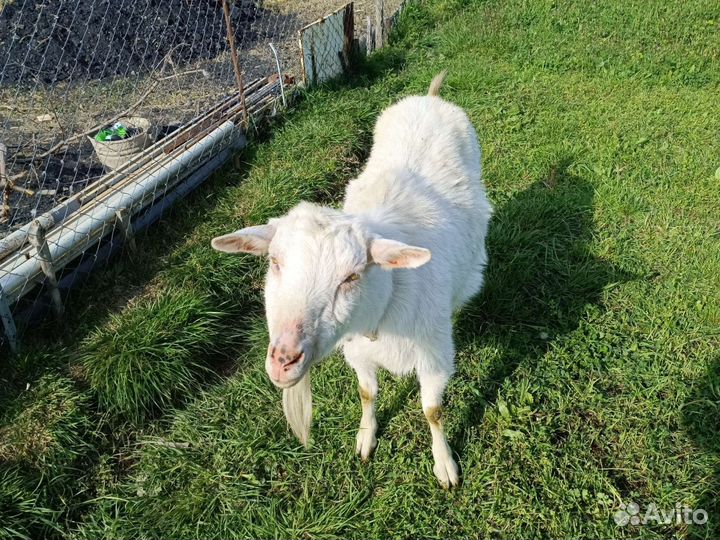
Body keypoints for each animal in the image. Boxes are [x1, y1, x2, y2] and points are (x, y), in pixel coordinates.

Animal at [211, 72, 492, 487]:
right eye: (274, 262)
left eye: (351, 276)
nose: (284, 360)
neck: (382, 312)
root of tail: (429, 98)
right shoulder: (357, 351)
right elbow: (366, 393)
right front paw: (365, 437)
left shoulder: (435, 355)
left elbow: (432, 410)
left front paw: (445, 464)